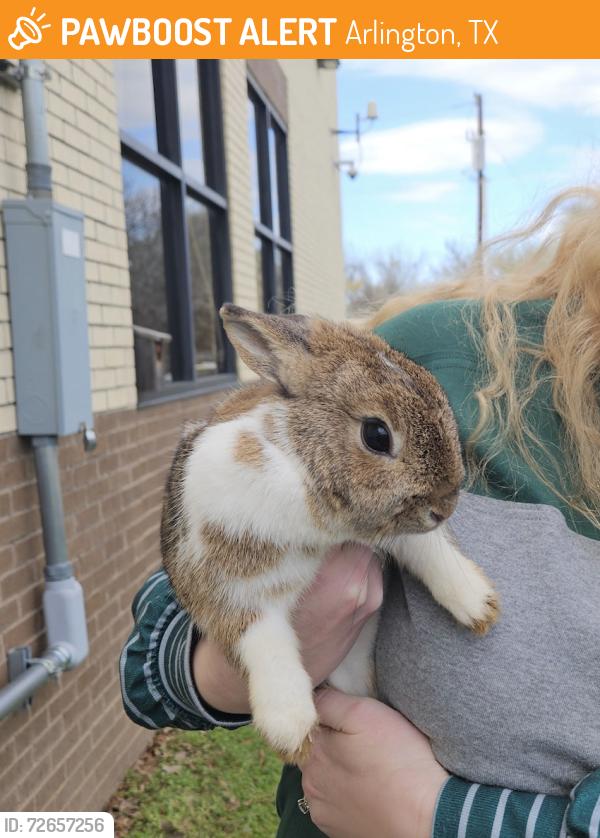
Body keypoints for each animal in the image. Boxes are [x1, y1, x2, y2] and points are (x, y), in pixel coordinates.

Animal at [161, 304, 499, 764]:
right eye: (376, 434)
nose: (444, 507)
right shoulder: (226, 585)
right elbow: (262, 642)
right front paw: (291, 730)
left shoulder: (385, 531)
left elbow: (427, 548)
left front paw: (478, 605)